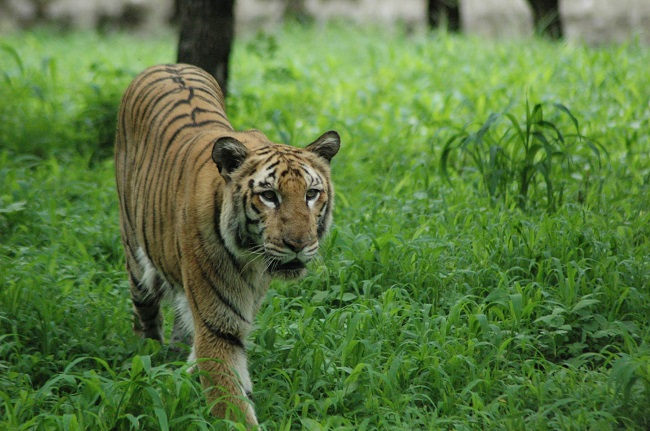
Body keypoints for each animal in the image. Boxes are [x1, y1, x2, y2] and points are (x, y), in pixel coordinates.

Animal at [114, 63, 340, 426]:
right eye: (269, 196)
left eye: (311, 194)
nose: (299, 243)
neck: (252, 260)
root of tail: (167, 64)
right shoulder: (219, 328)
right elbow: (231, 403)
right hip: (136, 259)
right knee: (145, 314)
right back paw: (148, 358)